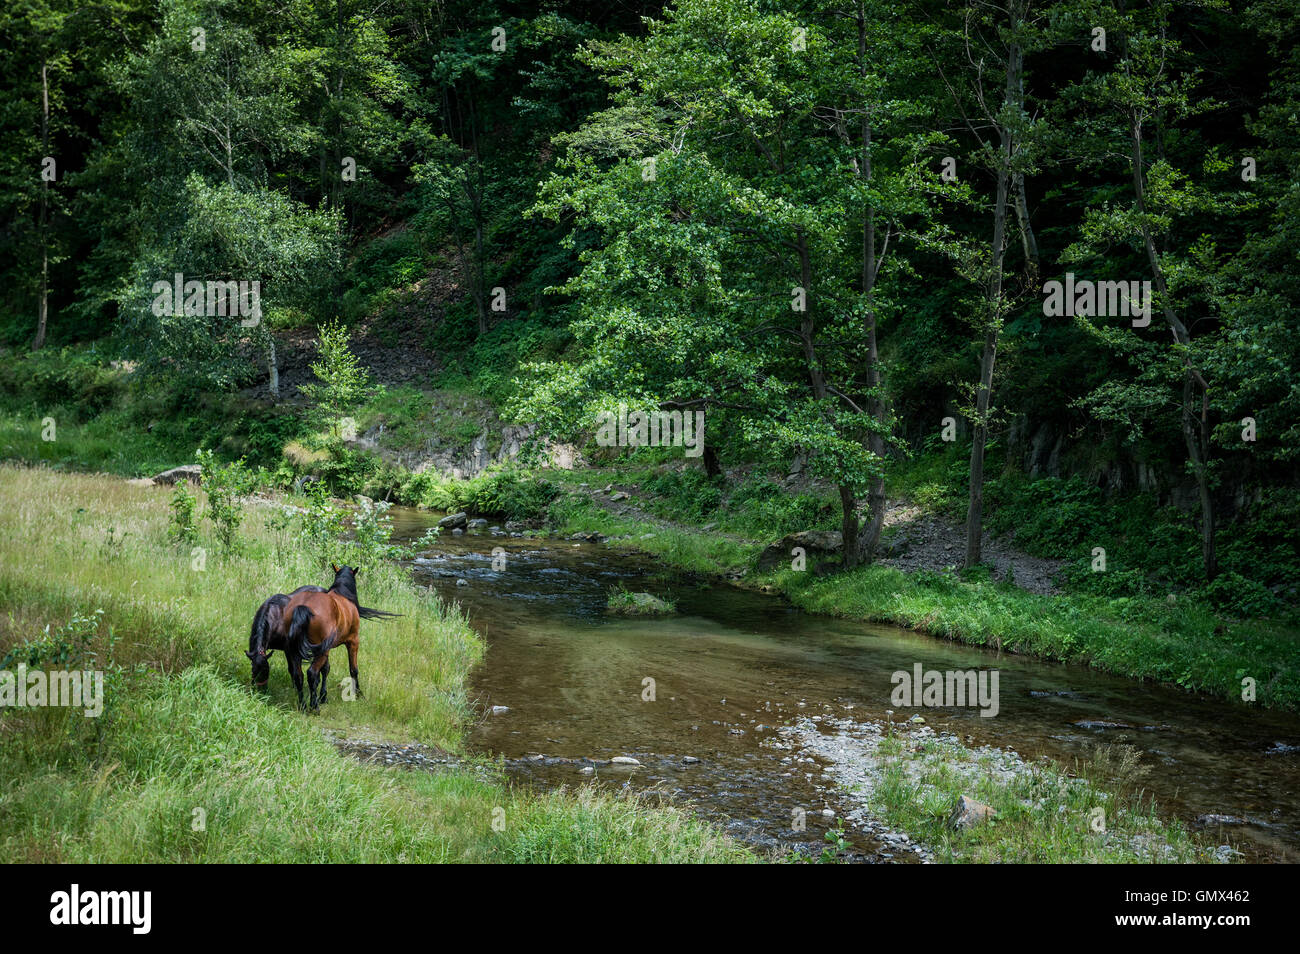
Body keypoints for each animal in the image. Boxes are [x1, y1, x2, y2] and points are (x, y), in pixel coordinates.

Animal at [283, 564, 400, 712]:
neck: (343, 595)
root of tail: (302, 607)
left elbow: (325, 670)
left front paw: (324, 697)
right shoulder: (353, 641)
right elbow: (353, 669)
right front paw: (358, 694)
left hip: (296, 650)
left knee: (299, 675)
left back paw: (303, 705)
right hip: (320, 650)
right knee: (311, 673)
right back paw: (314, 706)